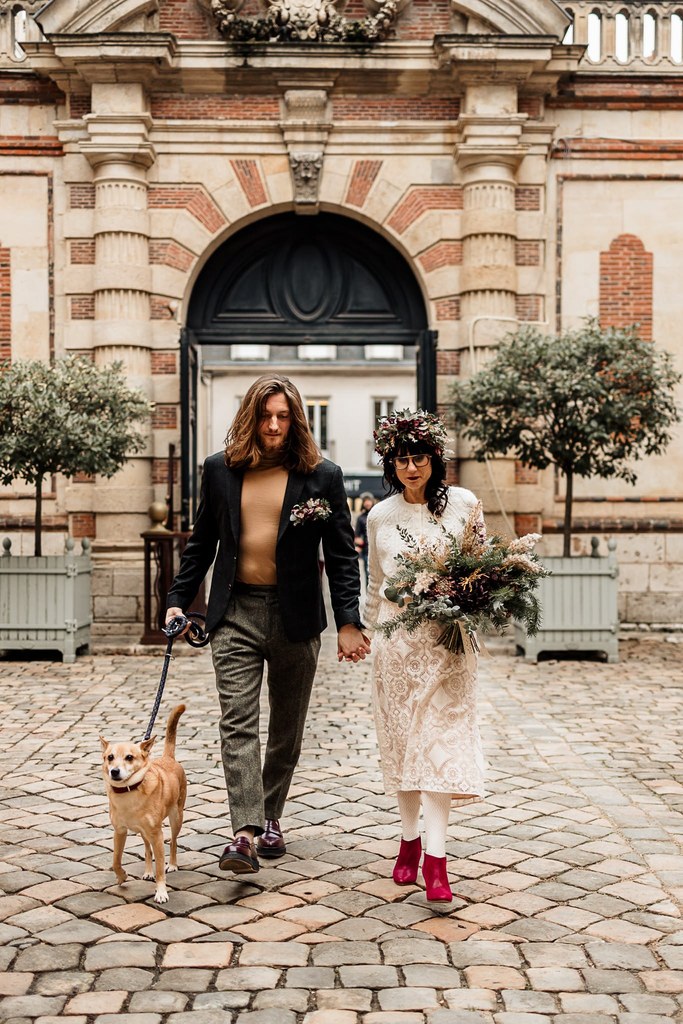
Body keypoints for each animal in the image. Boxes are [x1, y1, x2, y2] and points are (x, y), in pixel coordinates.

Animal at [100, 704, 188, 905]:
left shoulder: (157, 834)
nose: (114, 771)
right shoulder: (120, 831)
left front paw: (161, 892)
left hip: (176, 819)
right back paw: (148, 871)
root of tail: (168, 758)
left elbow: (160, 868)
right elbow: (115, 860)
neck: (129, 791)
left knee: (173, 842)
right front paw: (121, 876)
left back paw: (172, 864)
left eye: (129, 757)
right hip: (143, 831)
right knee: (147, 850)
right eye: (110, 757)